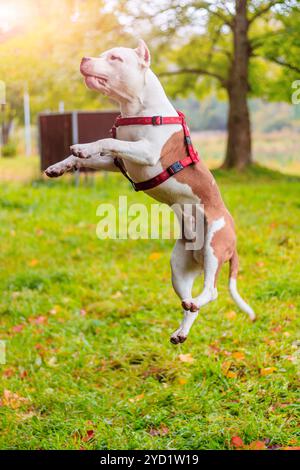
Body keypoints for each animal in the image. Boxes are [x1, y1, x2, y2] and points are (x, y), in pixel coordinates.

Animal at [45, 40, 254, 344]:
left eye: (115, 57)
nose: (84, 58)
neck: (137, 110)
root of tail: (233, 241)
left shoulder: (146, 152)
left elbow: (106, 141)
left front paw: (83, 146)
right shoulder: (117, 161)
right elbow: (89, 157)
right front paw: (59, 166)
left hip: (215, 245)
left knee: (212, 291)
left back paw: (197, 303)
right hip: (179, 266)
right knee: (189, 304)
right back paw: (182, 330)